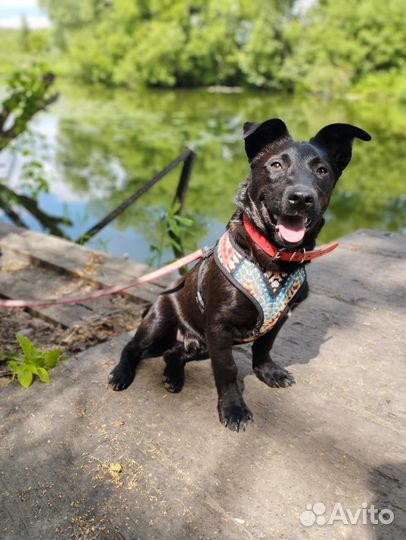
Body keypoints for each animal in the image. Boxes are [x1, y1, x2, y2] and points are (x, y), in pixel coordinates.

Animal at [108, 118, 372, 430]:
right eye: (276, 165)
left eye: (322, 171)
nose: (301, 197)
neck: (274, 257)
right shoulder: (219, 328)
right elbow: (227, 369)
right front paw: (233, 408)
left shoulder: (279, 317)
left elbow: (264, 347)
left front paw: (267, 372)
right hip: (161, 322)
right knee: (132, 347)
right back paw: (121, 374)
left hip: (200, 344)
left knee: (175, 353)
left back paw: (173, 377)